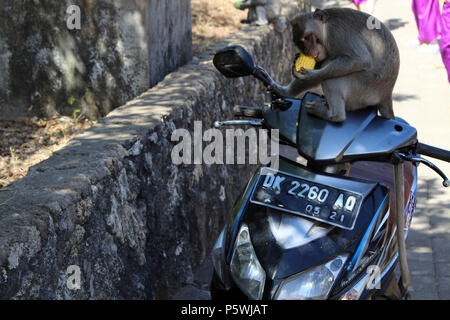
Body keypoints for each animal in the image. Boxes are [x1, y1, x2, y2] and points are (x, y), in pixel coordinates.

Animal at [268, 8, 398, 122]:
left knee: (330, 77)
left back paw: (334, 116)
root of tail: (386, 94)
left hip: (363, 89)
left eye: (307, 38)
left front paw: (310, 75)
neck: (326, 28)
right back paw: (284, 93)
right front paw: (296, 59)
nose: (307, 51)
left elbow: (361, 59)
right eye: (300, 42)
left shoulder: (338, 34)